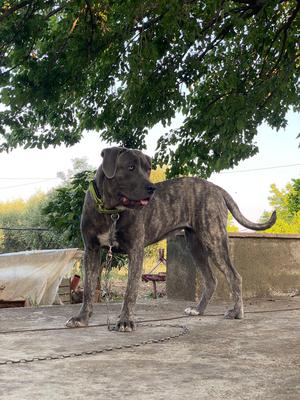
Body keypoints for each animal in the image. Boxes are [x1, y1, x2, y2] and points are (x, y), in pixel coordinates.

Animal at [66, 147, 276, 332]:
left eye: (147, 169)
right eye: (131, 167)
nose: (151, 188)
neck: (111, 211)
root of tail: (216, 188)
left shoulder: (135, 251)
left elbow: (130, 291)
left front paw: (125, 321)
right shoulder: (91, 251)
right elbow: (88, 289)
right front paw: (82, 318)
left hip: (214, 240)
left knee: (234, 276)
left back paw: (236, 312)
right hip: (195, 246)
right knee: (211, 279)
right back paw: (199, 310)